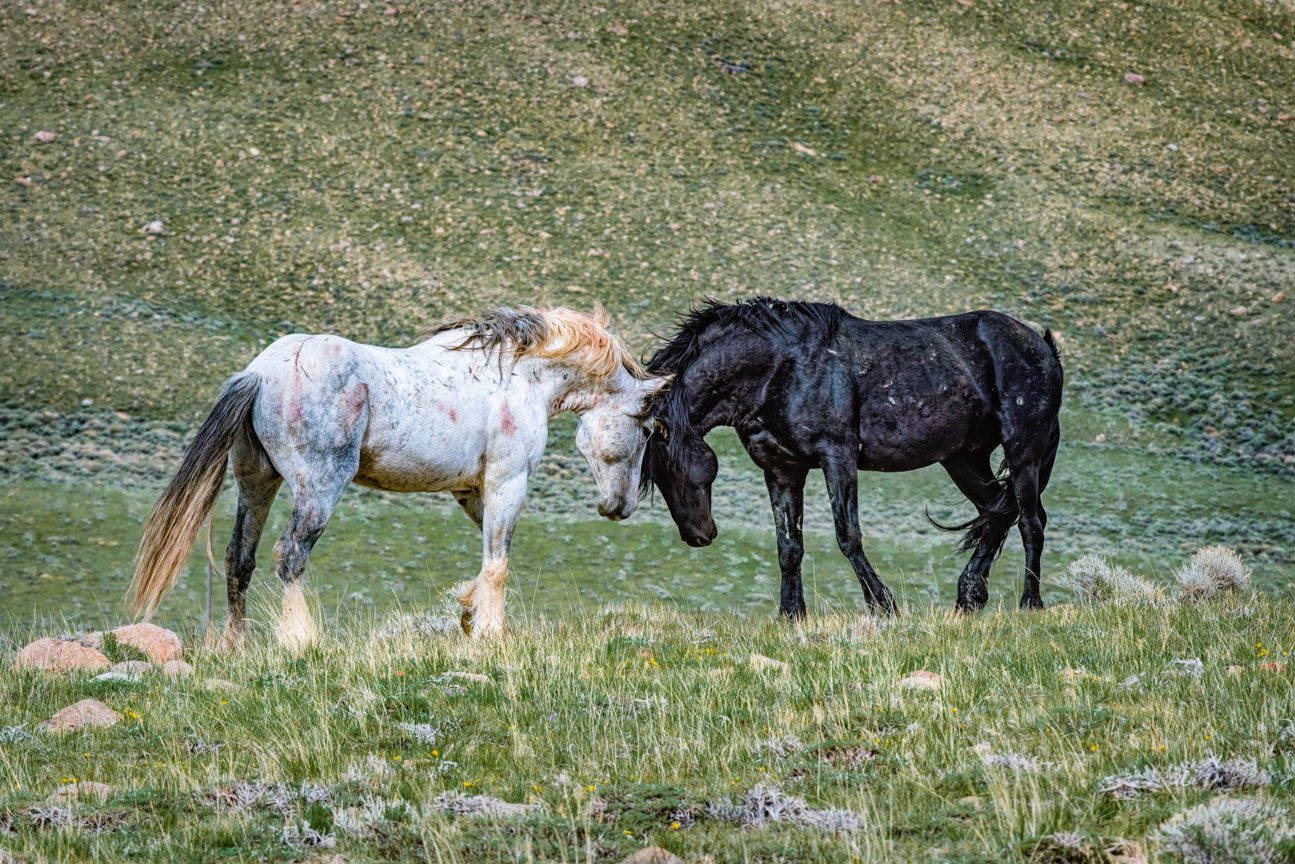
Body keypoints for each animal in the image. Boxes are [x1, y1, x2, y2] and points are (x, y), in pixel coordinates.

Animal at [130, 306, 668, 645]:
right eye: (647, 429)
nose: (619, 507)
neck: (520, 376)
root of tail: (258, 374)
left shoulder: (470, 490)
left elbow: (489, 556)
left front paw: (469, 612)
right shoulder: (507, 482)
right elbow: (498, 561)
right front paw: (491, 633)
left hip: (256, 483)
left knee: (239, 557)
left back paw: (237, 646)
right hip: (318, 489)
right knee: (290, 554)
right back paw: (301, 640)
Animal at [644, 297, 1061, 613]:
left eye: (672, 467)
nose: (699, 535)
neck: (780, 369)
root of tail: (1042, 346)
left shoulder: (837, 456)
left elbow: (848, 535)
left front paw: (883, 605)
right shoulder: (781, 469)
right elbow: (788, 545)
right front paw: (791, 614)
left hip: (1023, 450)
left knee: (1030, 521)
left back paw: (1030, 602)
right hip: (963, 458)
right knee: (998, 510)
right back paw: (969, 598)